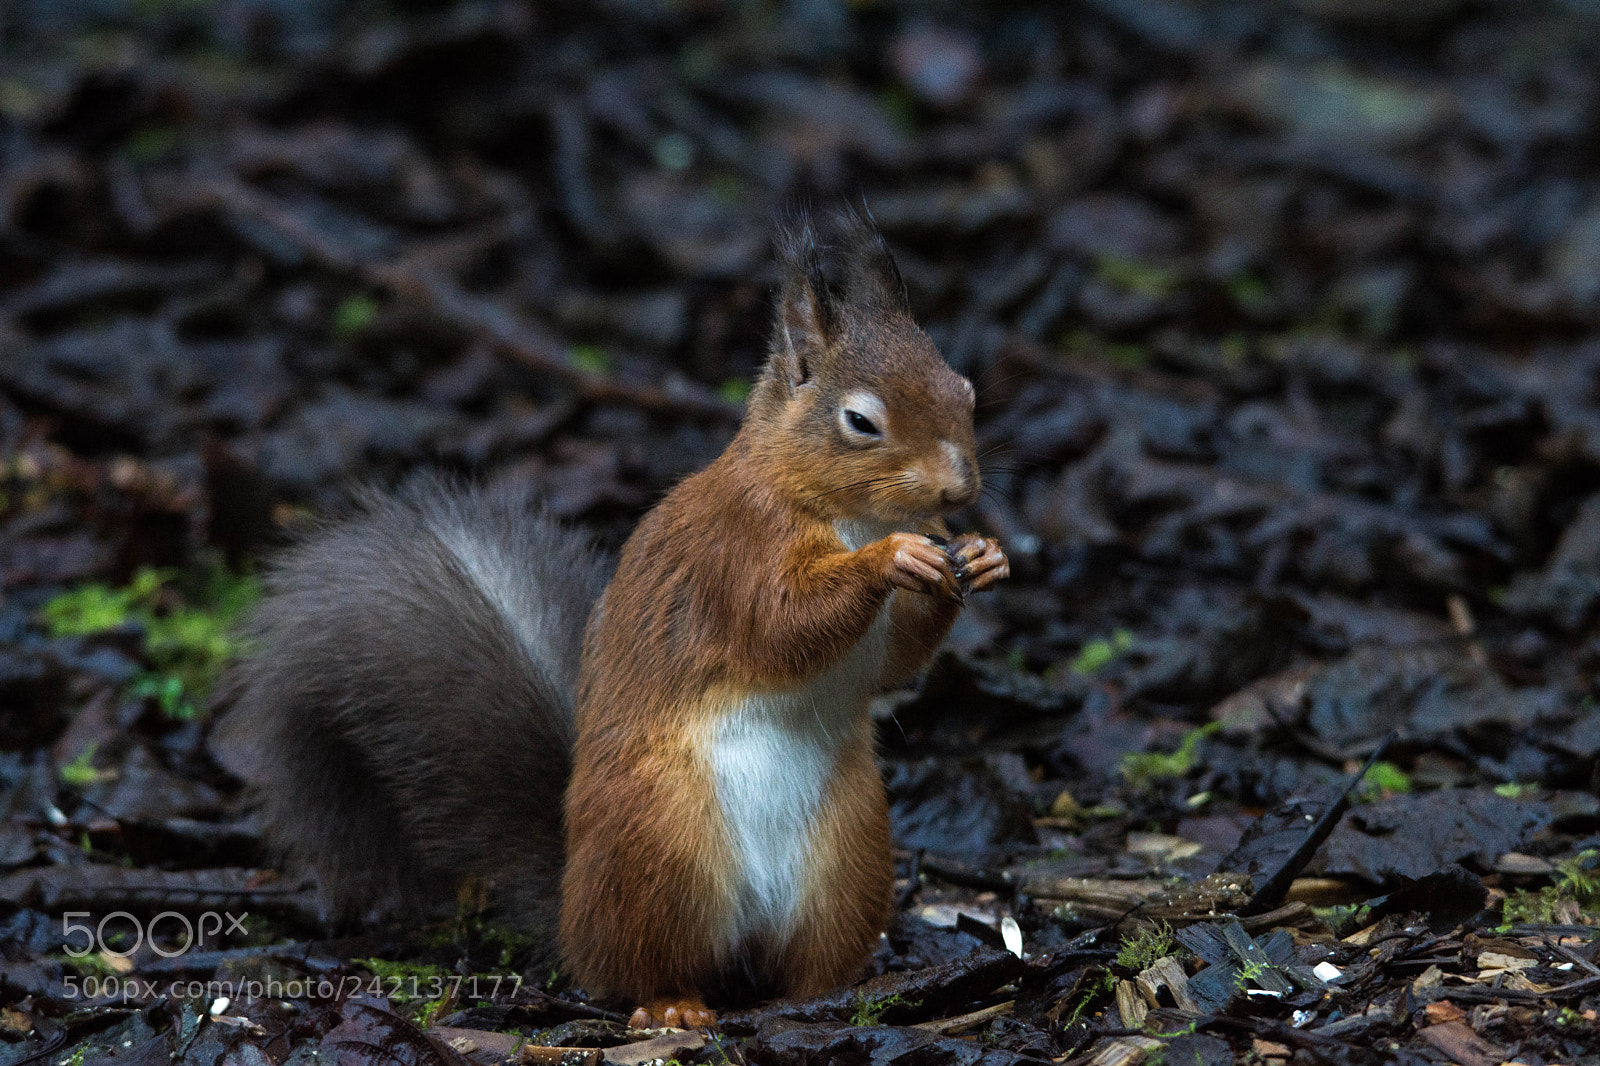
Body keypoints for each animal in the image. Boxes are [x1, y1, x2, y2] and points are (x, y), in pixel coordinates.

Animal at [217, 211, 1009, 1030]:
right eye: (860, 421)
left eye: (964, 390)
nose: (959, 491)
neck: (841, 511)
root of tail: (572, 917)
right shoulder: (733, 558)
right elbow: (781, 625)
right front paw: (891, 559)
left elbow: (893, 664)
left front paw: (980, 558)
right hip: (660, 843)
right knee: (642, 967)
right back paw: (674, 1008)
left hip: (849, 856)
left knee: (806, 958)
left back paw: (829, 994)